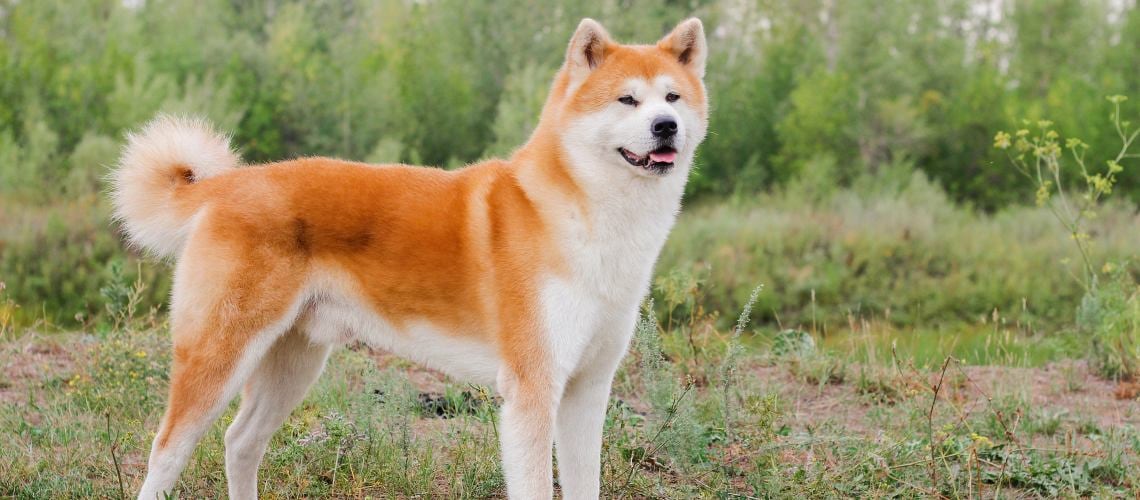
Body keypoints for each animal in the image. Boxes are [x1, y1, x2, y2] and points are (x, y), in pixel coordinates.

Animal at [113, 17, 702, 498]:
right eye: (627, 101)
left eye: (672, 98)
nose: (665, 127)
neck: (589, 218)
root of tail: (228, 185)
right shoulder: (532, 392)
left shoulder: (587, 390)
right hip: (219, 356)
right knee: (166, 452)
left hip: (293, 362)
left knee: (240, 442)